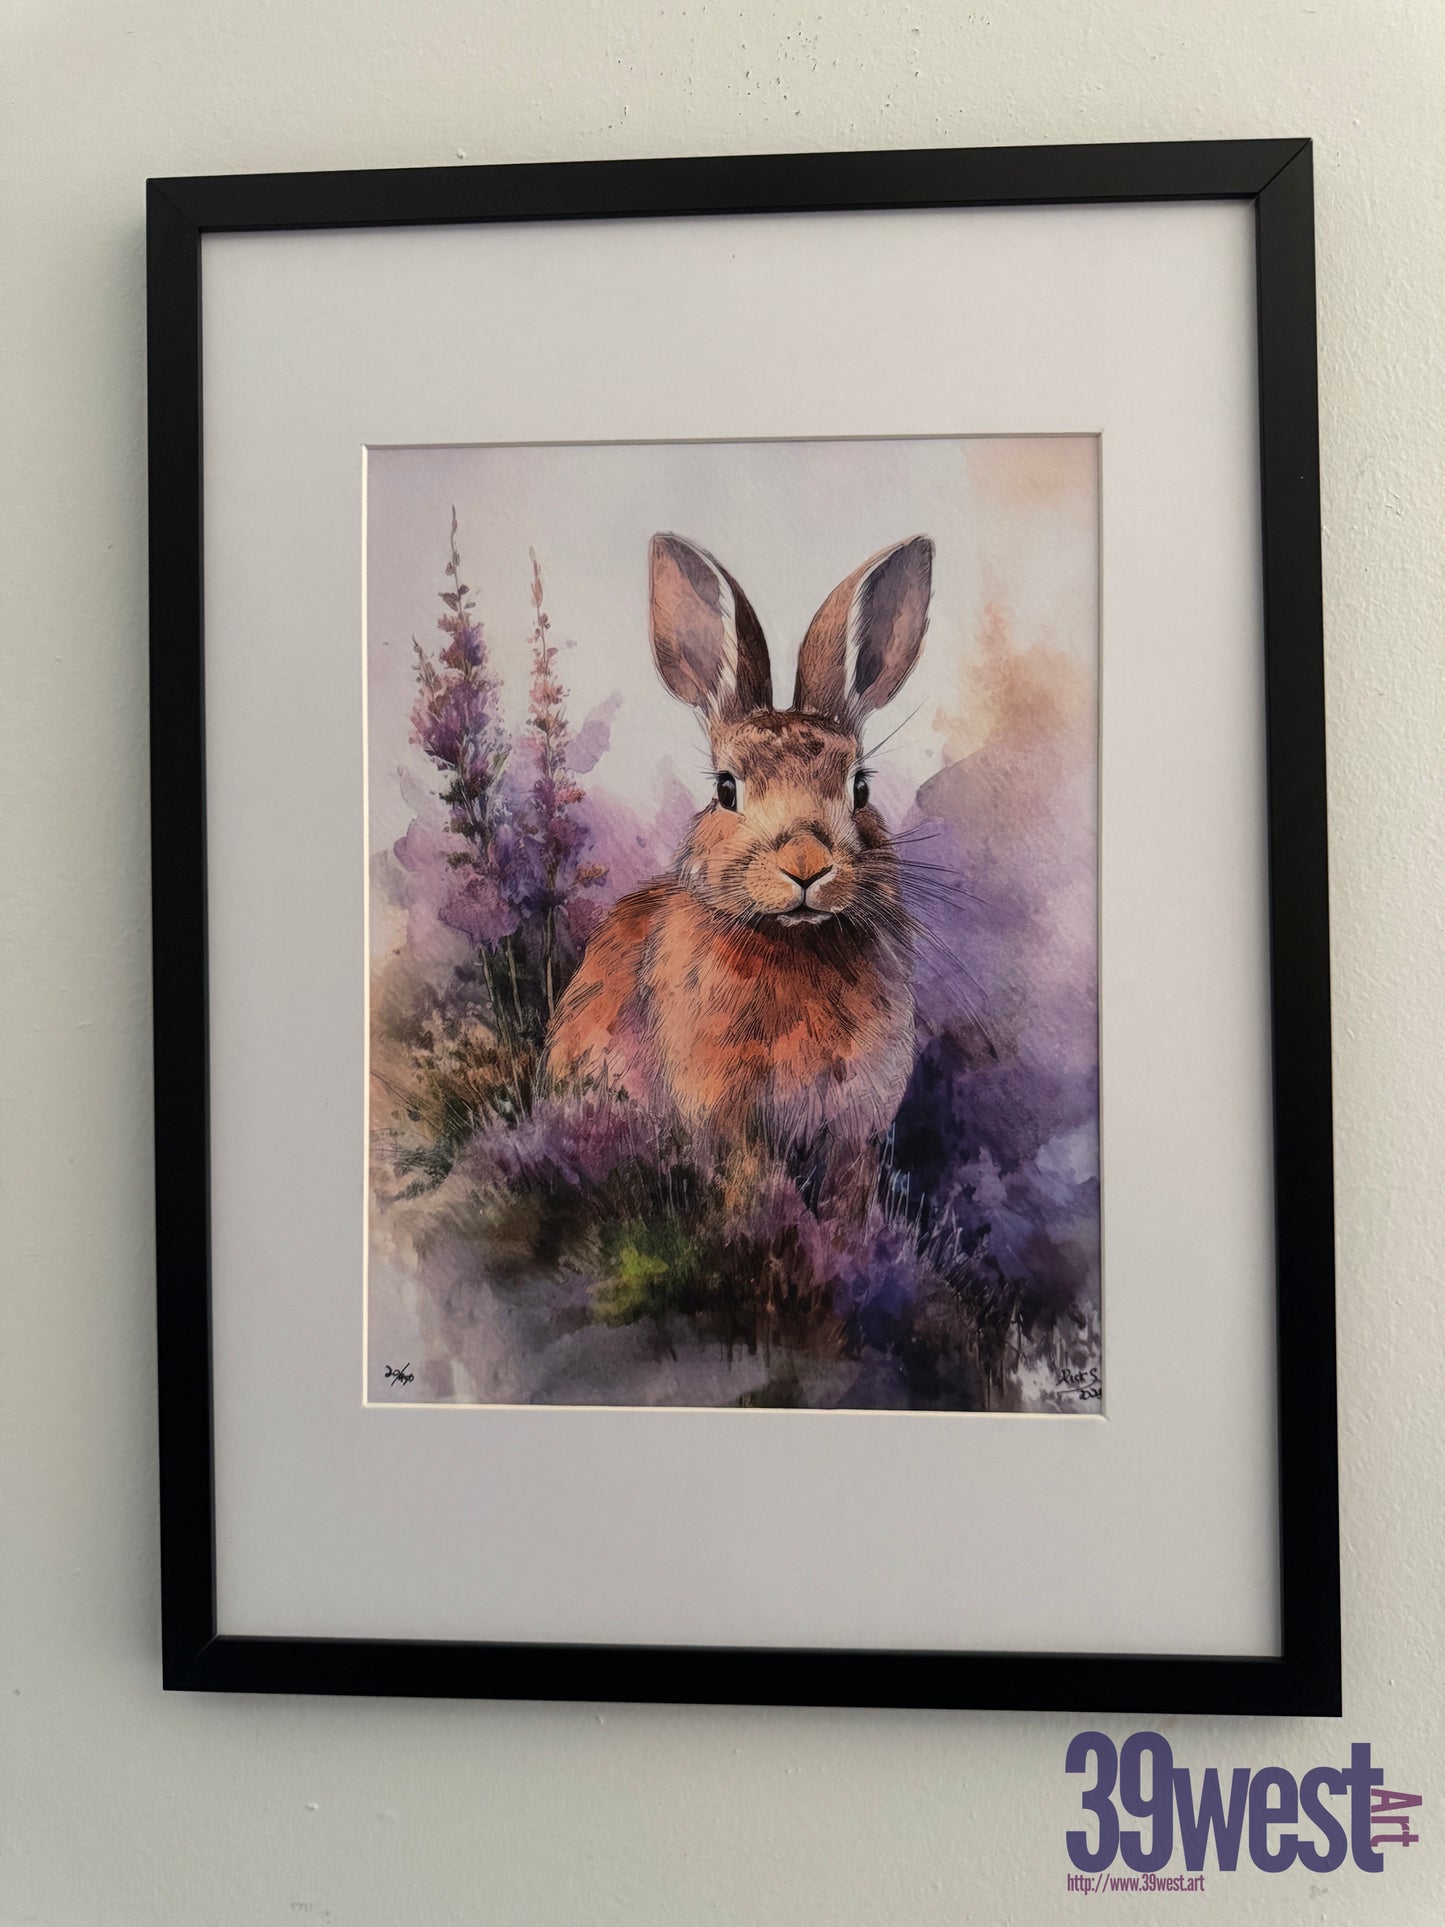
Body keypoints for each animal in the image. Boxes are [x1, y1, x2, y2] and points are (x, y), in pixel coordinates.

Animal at [543, 530, 933, 1195]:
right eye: (726, 789)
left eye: (860, 789)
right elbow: (755, 1184)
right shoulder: (725, 1112)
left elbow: (849, 1194)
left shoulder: (854, 1124)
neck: (793, 940)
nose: (806, 863)